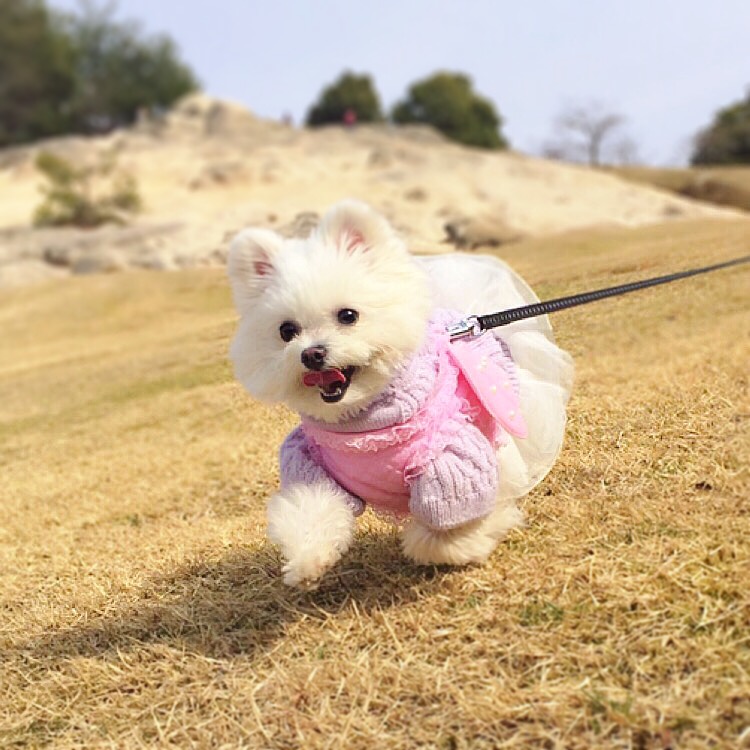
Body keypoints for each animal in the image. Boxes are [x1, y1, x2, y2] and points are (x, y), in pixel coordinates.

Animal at [226, 203, 572, 592]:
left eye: (348, 315)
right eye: (287, 331)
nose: (312, 354)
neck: (364, 424)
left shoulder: (452, 459)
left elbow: (449, 521)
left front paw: (454, 545)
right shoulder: (309, 465)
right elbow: (312, 509)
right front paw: (309, 560)